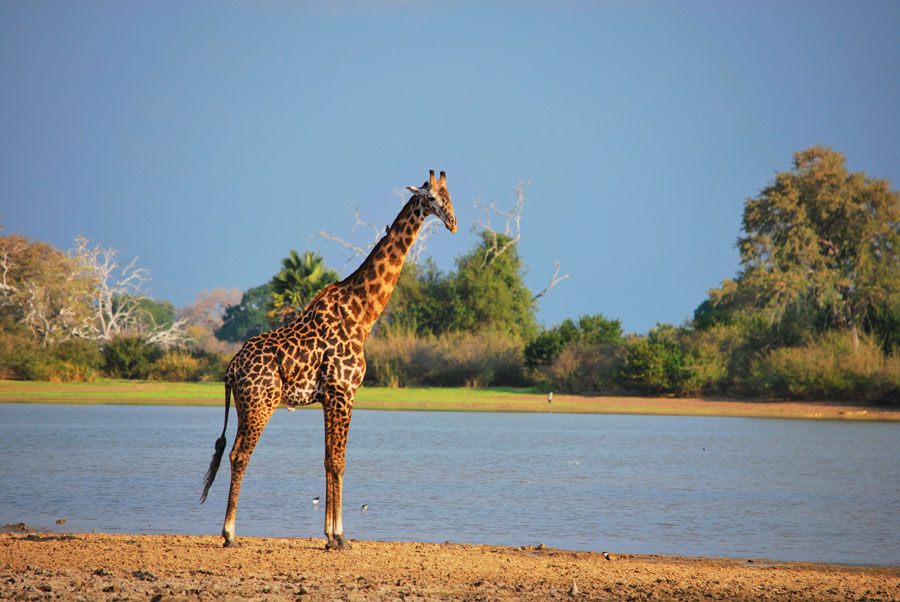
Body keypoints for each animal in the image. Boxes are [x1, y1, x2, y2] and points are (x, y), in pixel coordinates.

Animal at [203, 169, 458, 548]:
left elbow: (327, 461)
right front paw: (341, 537)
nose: (453, 223)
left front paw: (329, 535)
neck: (363, 316)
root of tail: (232, 368)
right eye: (431, 197)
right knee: (240, 455)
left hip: (245, 405)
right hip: (261, 403)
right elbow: (339, 462)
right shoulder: (343, 392)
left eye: (449, 195)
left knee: (234, 452)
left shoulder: (330, 397)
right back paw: (230, 534)